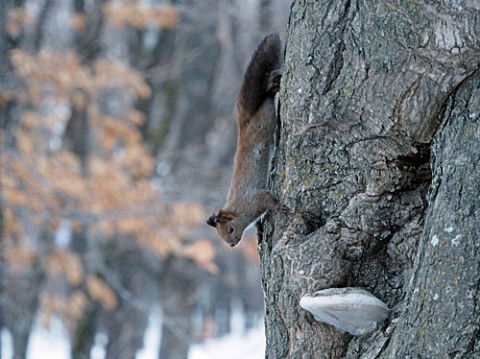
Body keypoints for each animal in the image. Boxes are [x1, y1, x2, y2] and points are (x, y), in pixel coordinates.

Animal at [206, 33, 288, 248]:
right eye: (223, 236)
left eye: (230, 229)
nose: (232, 244)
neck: (237, 210)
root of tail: (244, 121)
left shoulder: (254, 200)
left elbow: (269, 200)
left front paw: (280, 207)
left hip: (264, 121)